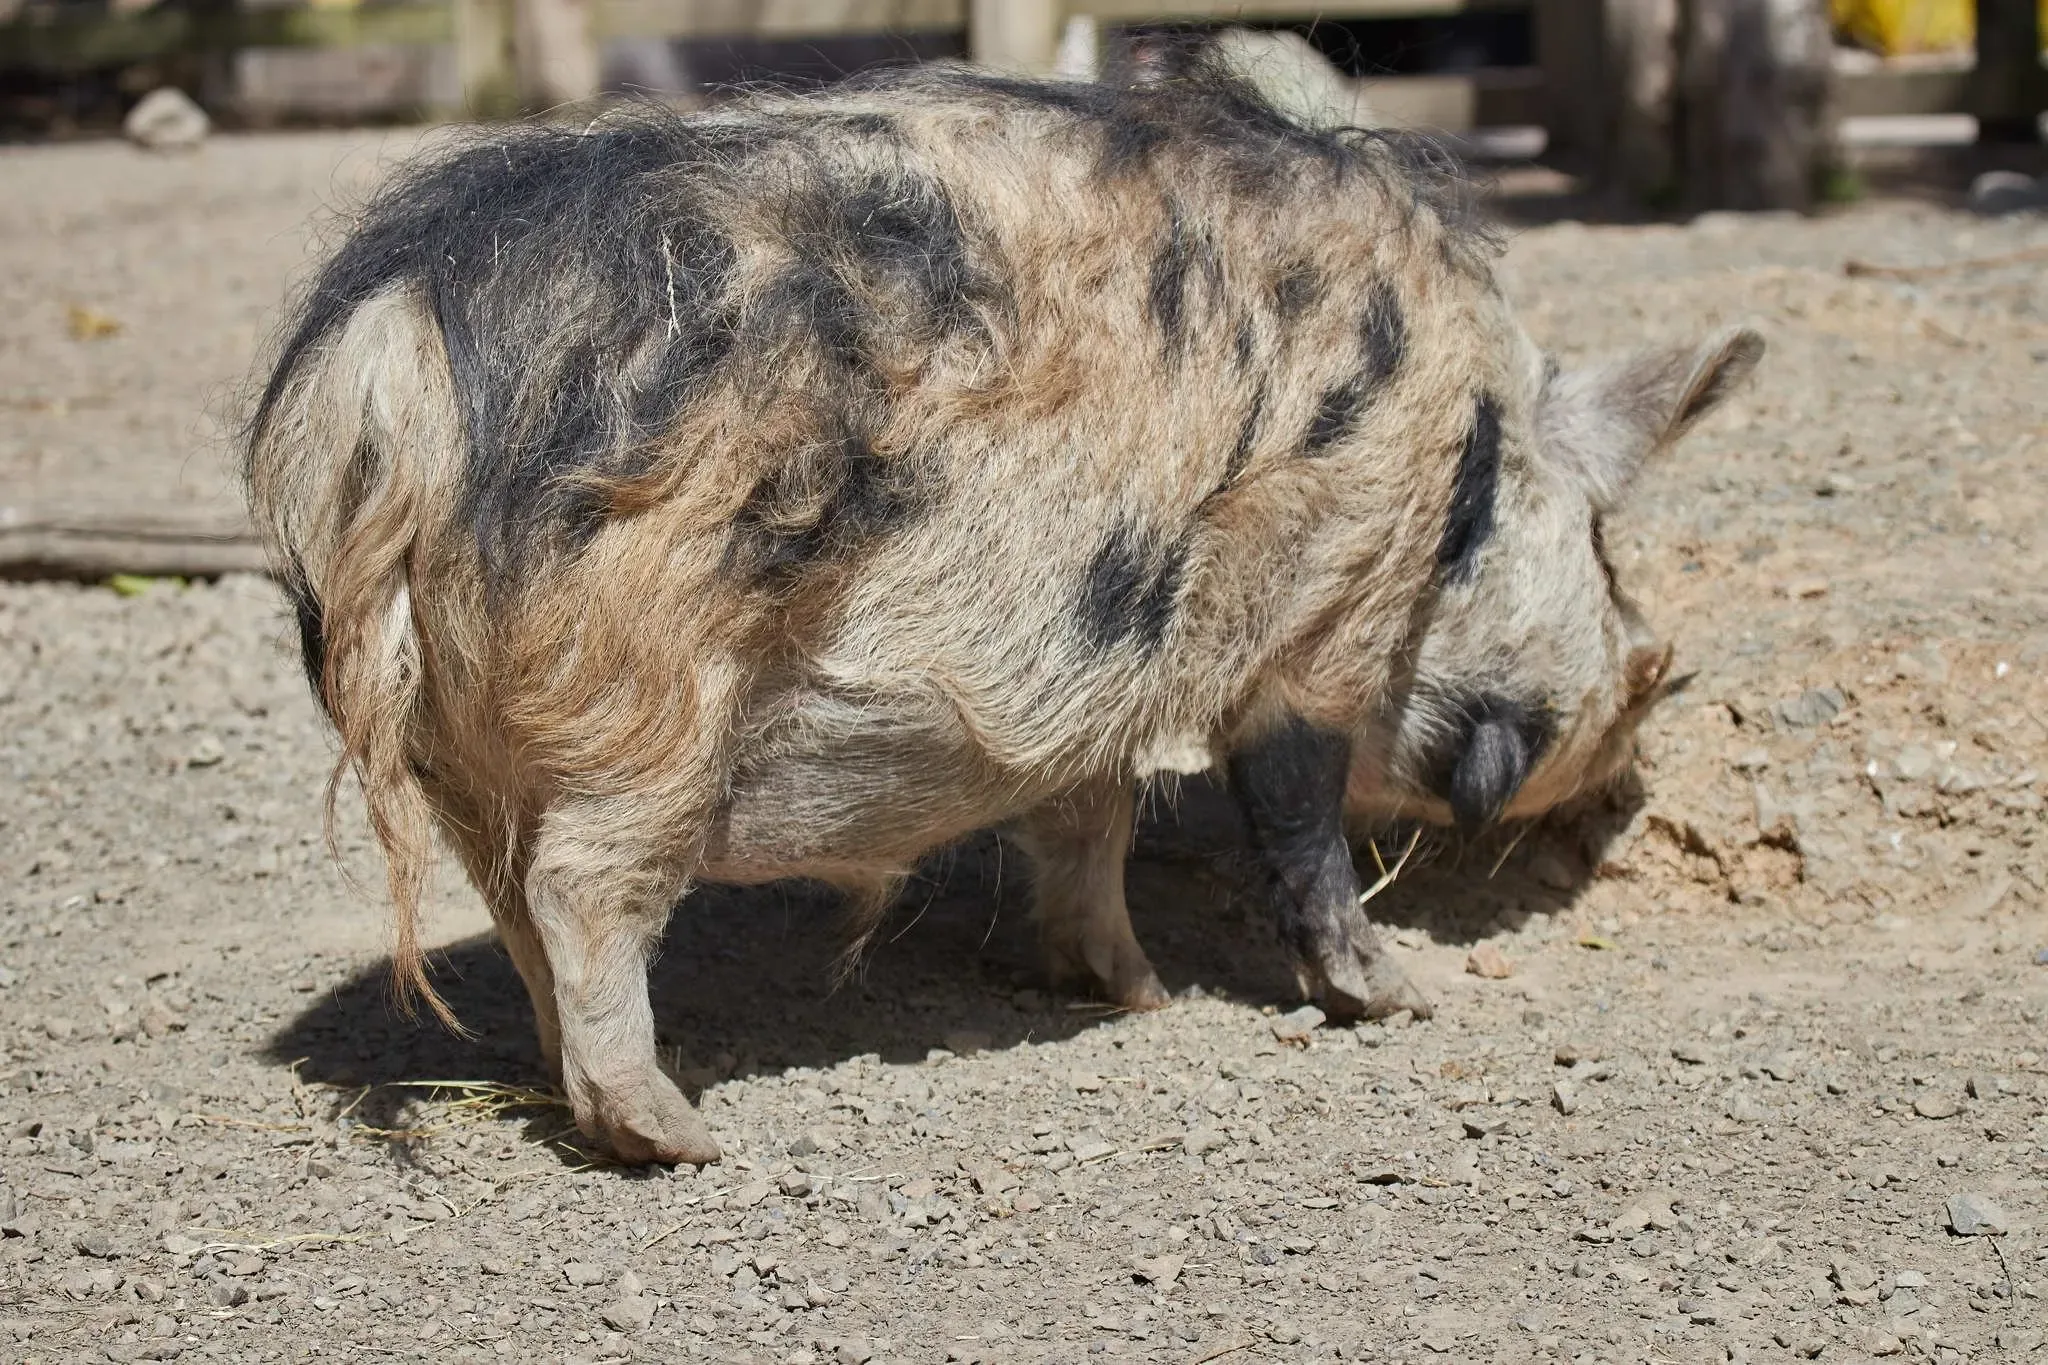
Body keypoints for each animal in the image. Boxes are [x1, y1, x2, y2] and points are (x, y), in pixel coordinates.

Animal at [247, 61, 1761, 1162]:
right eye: (1611, 560)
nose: (1637, 737)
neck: (1461, 466)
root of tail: (389, 347)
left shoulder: (1086, 683)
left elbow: (1083, 824)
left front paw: (1133, 993)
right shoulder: (1320, 608)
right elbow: (1296, 815)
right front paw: (1390, 995)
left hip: (456, 739)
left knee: (511, 900)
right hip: (644, 684)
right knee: (582, 887)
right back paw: (680, 1133)